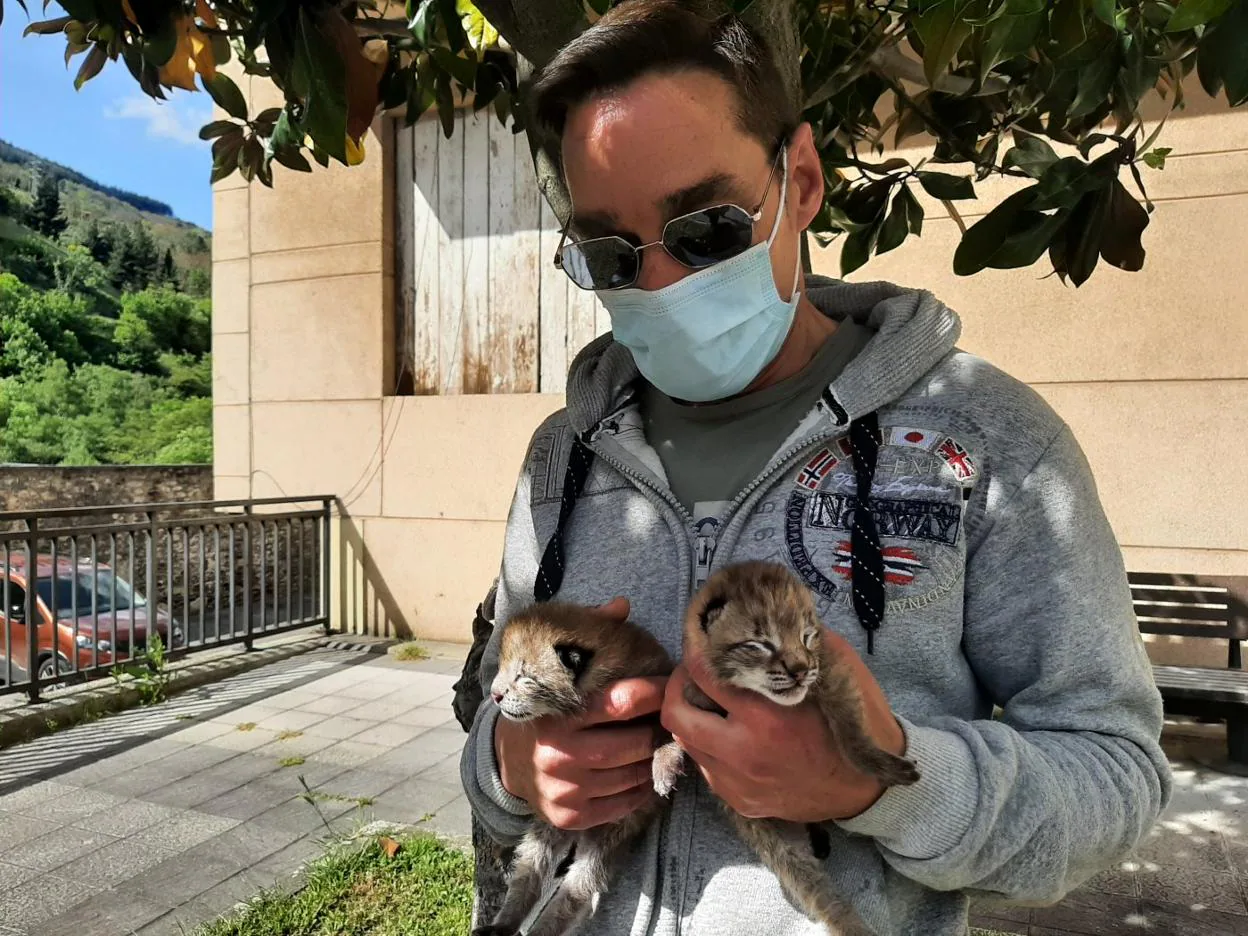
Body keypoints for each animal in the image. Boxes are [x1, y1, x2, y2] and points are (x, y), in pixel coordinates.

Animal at [471, 601, 673, 936]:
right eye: (500, 668)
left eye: (524, 676)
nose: (495, 696)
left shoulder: (662, 686)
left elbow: (669, 727)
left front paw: (666, 764)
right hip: (550, 827)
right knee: (529, 878)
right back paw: (503, 924)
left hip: (607, 837)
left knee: (575, 891)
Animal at [653, 561, 918, 933]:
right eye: (760, 644)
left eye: (807, 636)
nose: (801, 671)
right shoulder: (692, 697)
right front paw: (664, 760)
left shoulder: (832, 668)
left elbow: (849, 728)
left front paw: (876, 762)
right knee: (810, 882)